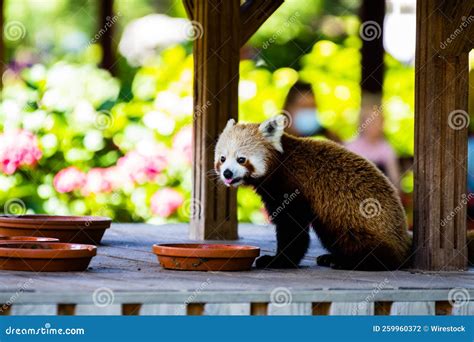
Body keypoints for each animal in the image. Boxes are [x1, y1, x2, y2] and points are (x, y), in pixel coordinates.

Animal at [215, 116, 474, 272]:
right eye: (222, 158)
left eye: (241, 159)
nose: (227, 173)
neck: (280, 162)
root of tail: (404, 243)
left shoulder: (293, 190)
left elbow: (293, 231)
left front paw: (278, 261)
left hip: (358, 224)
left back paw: (348, 261)